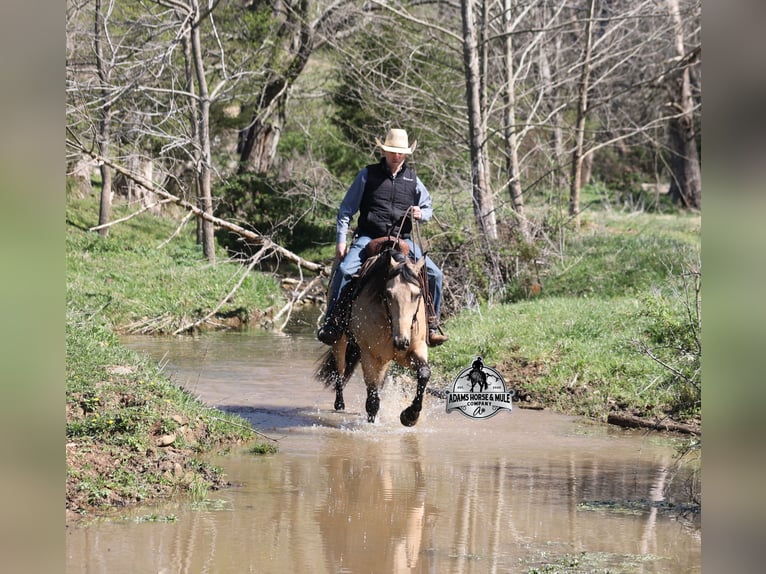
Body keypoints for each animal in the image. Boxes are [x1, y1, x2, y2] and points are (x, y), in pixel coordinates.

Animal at [315, 247, 431, 426]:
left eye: (417, 295)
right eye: (388, 294)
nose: (401, 342)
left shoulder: (415, 349)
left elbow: (424, 373)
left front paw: (410, 415)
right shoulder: (370, 355)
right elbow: (372, 400)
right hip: (340, 341)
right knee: (339, 372)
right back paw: (339, 404)